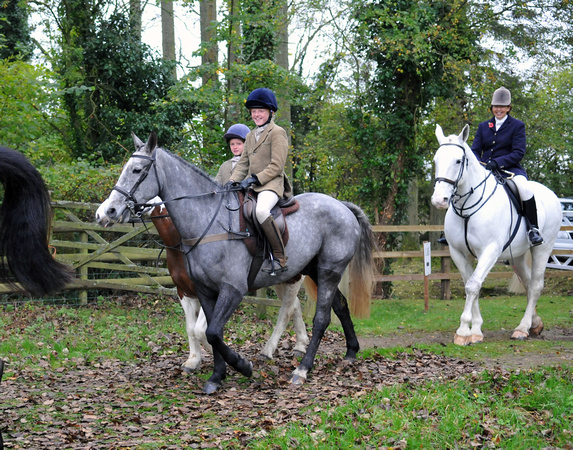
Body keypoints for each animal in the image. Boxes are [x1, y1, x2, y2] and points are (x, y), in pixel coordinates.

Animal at [95, 197, 308, 370]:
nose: (101, 214)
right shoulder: (184, 293)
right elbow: (191, 329)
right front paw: (194, 360)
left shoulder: (211, 291)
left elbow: (200, 330)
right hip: (280, 280)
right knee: (295, 306)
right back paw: (300, 345)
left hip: (293, 279)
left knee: (286, 311)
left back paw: (268, 351)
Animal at [428, 123, 560, 344]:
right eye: (435, 160)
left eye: (458, 160)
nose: (439, 200)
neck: (467, 208)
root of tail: (550, 193)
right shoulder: (457, 252)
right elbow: (470, 283)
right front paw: (475, 330)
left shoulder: (489, 251)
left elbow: (473, 285)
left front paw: (463, 331)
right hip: (517, 256)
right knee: (526, 282)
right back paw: (535, 324)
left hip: (543, 249)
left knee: (535, 285)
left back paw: (522, 328)